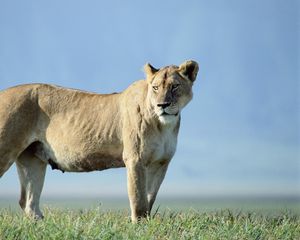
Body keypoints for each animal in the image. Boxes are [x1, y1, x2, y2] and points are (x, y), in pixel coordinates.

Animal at [0, 59, 199, 221]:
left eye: (174, 86)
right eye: (156, 87)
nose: (162, 105)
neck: (163, 125)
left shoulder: (161, 163)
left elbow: (150, 198)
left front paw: (147, 223)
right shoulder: (135, 159)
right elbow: (138, 199)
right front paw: (139, 226)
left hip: (33, 158)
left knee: (28, 202)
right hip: (6, 150)